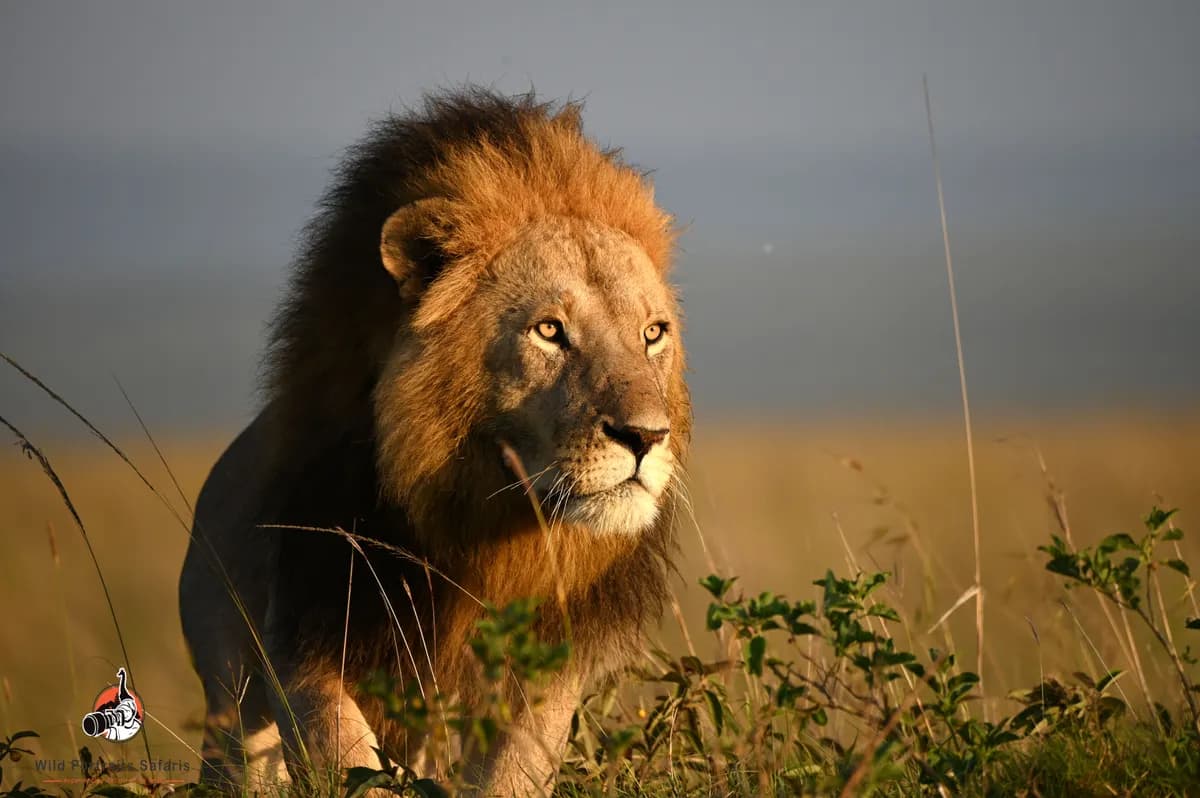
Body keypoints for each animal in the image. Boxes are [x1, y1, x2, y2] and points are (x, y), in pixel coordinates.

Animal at [178, 87, 691, 796]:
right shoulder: (305, 621)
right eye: (550, 330)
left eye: (652, 333)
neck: (480, 522)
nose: (645, 435)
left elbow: (514, 769)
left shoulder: (545, 663)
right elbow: (346, 753)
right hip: (227, 690)